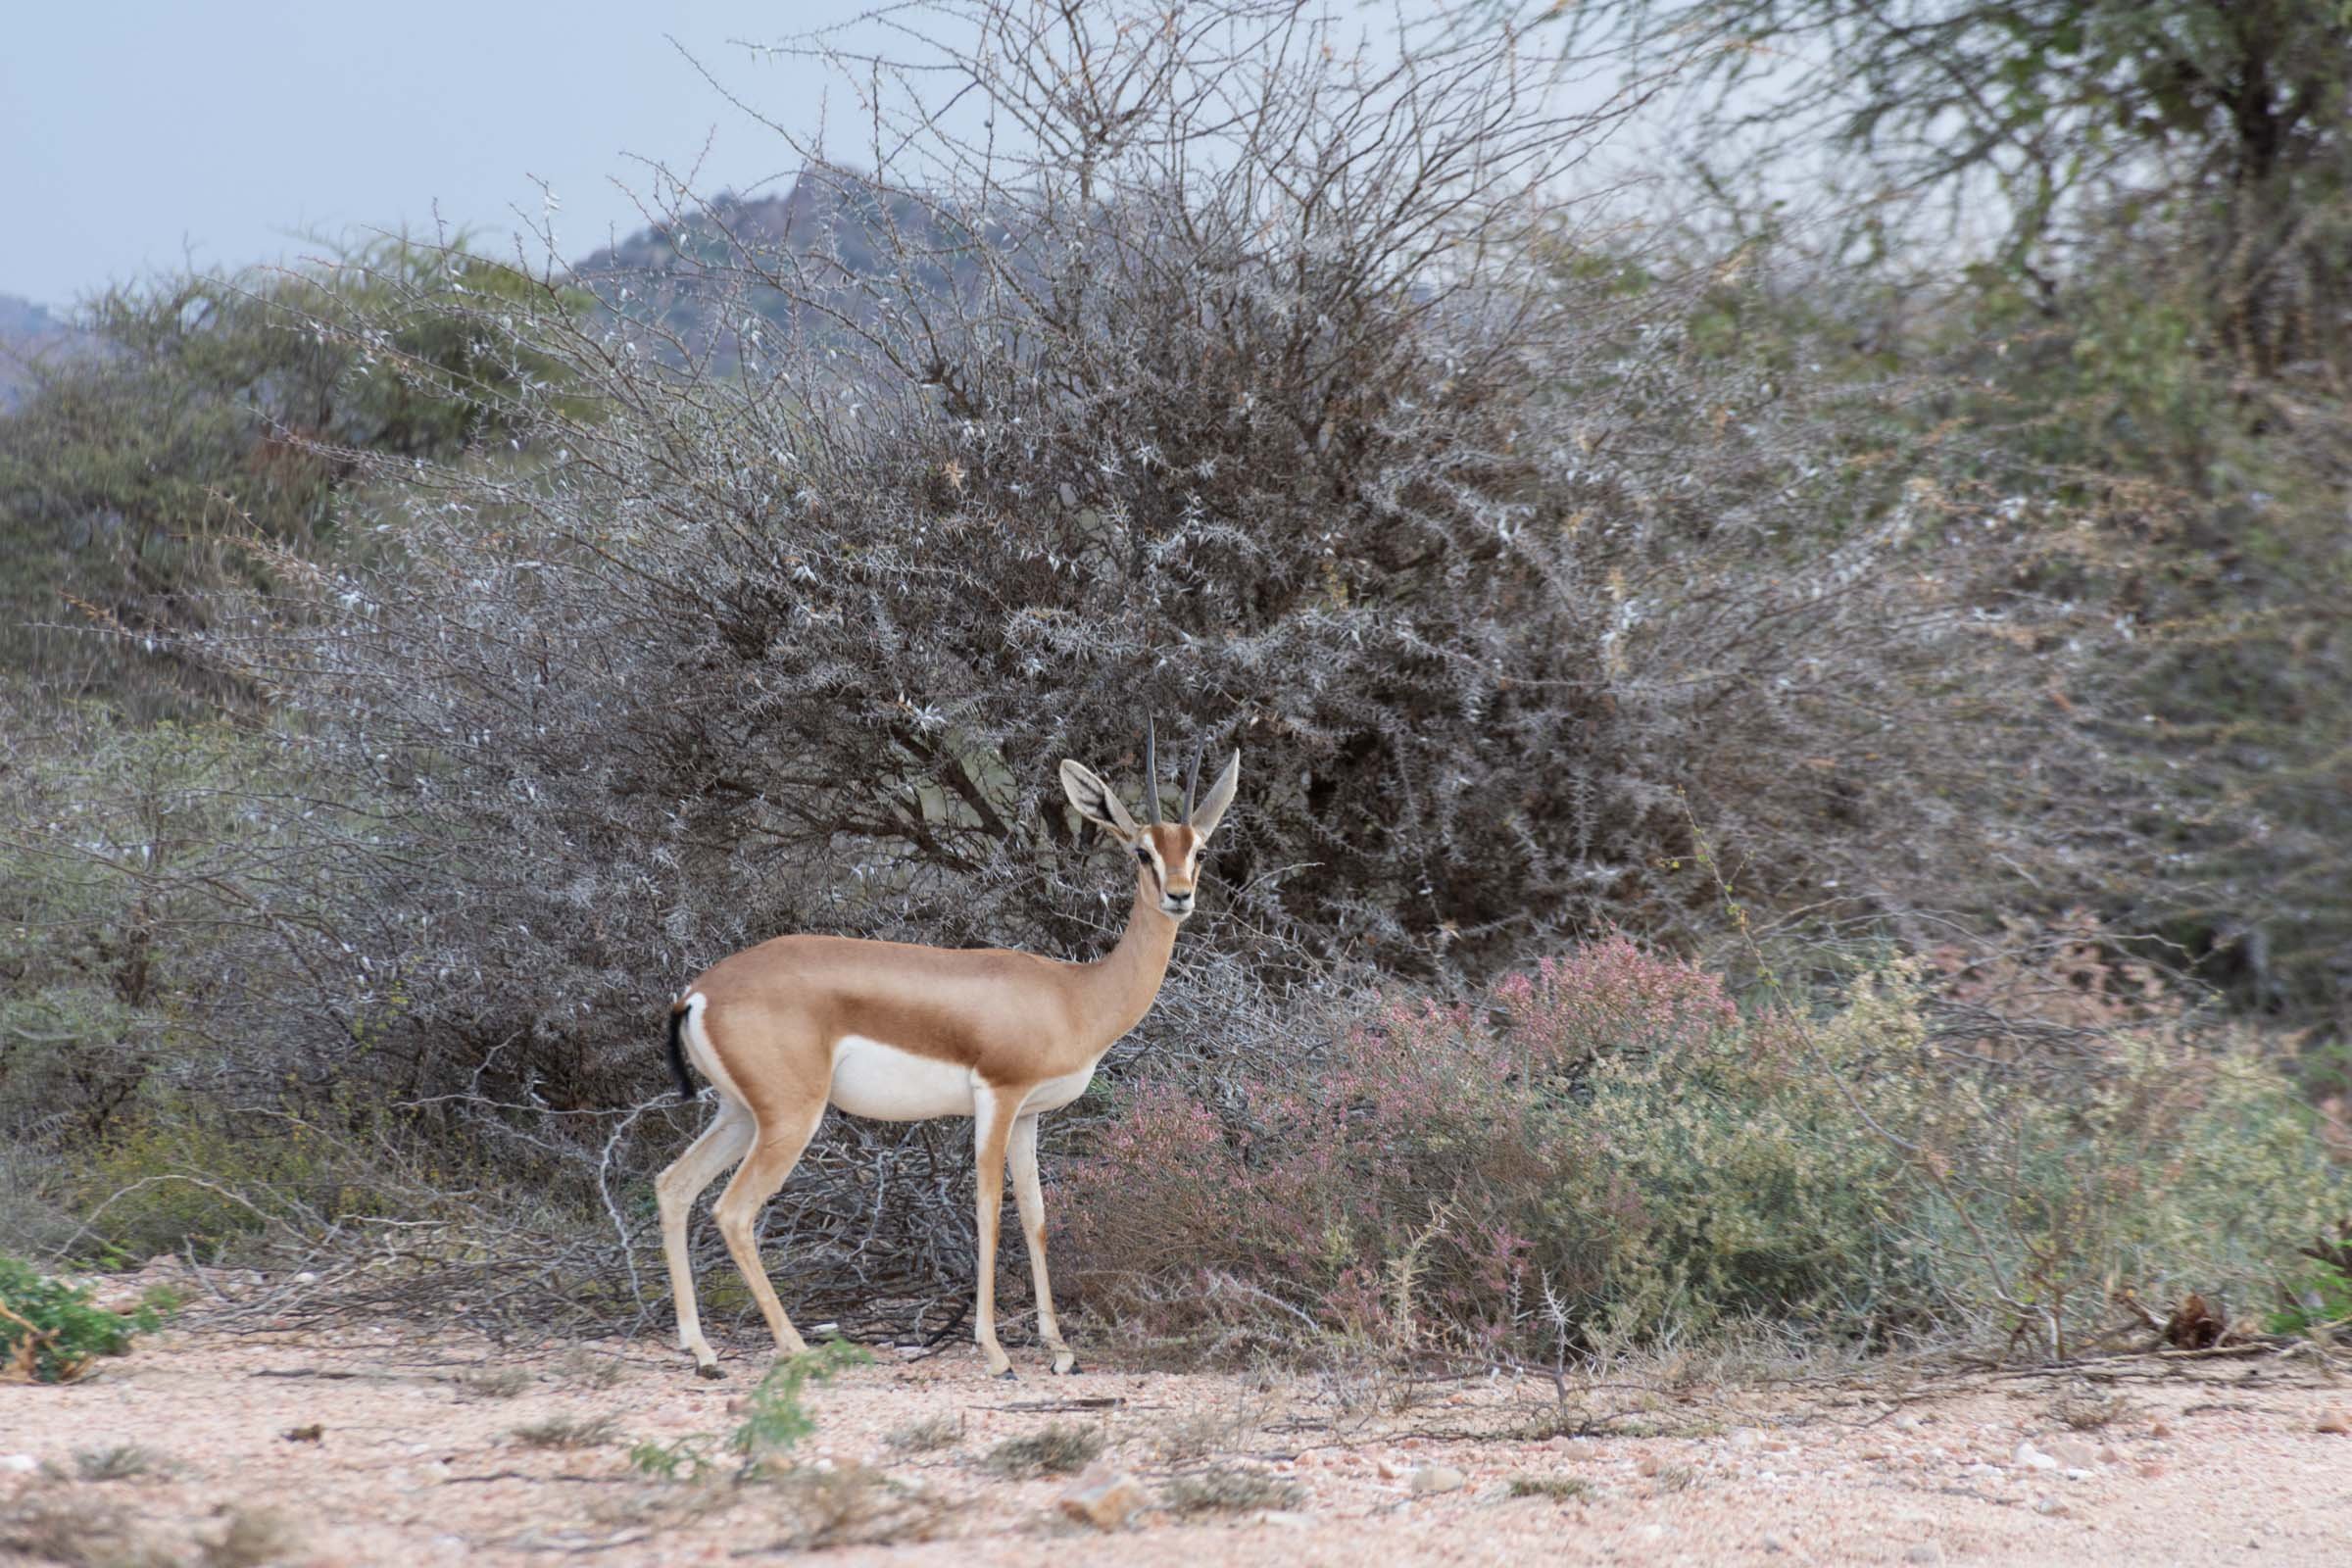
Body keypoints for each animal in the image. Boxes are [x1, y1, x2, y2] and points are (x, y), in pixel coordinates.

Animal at [656, 724, 1241, 1378]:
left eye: (1199, 850)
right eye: (1142, 851)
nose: (1179, 896)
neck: (1074, 994)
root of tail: (698, 993)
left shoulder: (1030, 1116)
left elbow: (1036, 1216)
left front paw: (1059, 1349)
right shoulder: (998, 1097)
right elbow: (989, 1209)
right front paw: (996, 1351)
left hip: (739, 1114)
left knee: (674, 1186)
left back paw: (703, 1352)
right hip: (789, 1118)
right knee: (733, 1211)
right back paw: (797, 1348)